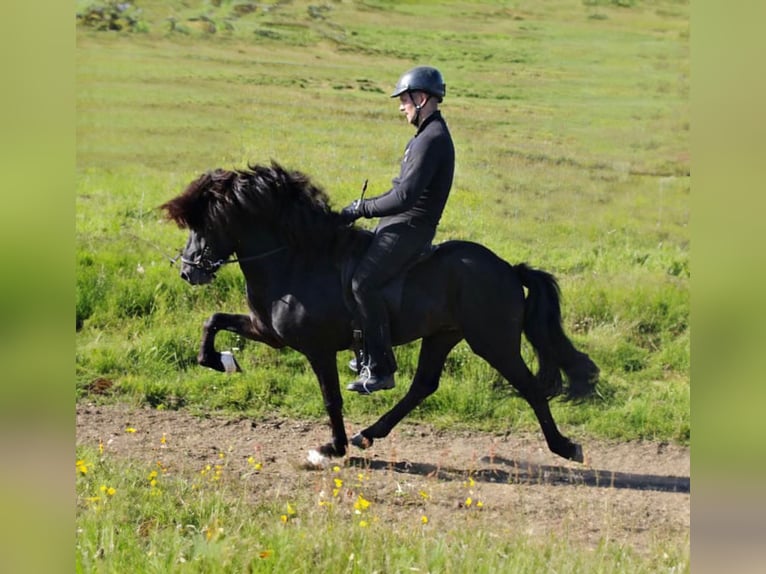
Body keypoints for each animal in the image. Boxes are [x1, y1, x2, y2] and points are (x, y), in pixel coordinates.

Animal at [160, 162, 599, 465]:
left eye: (205, 224)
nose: (188, 271)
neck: (296, 260)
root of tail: (507, 268)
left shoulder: (317, 349)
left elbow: (331, 398)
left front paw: (331, 449)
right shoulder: (268, 331)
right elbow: (213, 321)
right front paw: (220, 361)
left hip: (493, 341)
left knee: (530, 386)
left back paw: (565, 447)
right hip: (443, 335)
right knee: (423, 385)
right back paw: (369, 434)